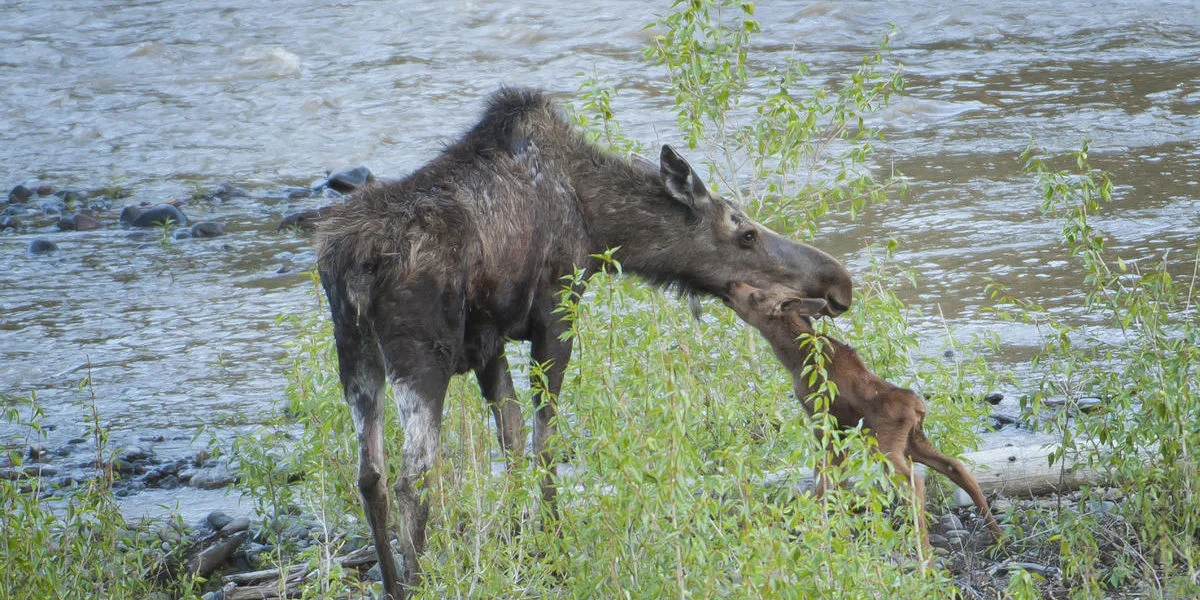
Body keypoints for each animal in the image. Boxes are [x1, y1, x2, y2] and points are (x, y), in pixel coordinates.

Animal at [314, 87, 849, 597]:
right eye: (746, 235)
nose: (837, 282)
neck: (596, 220)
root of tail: (352, 264)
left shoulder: (489, 342)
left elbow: (511, 437)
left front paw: (520, 539)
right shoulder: (556, 311)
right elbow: (544, 440)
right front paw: (553, 547)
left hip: (354, 353)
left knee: (371, 476)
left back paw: (391, 583)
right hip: (423, 356)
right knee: (414, 475)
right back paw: (415, 583)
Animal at [720, 280, 1003, 549]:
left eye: (756, 296)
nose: (732, 286)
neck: (791, 357)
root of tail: (918, 407)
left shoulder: (820, 418)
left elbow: (822, 478)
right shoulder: (842, 429)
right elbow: (839, 480)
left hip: (886, 446)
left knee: (914, 483)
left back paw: (925, 552)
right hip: (913, 442)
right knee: (957, 467)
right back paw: (997, 535)